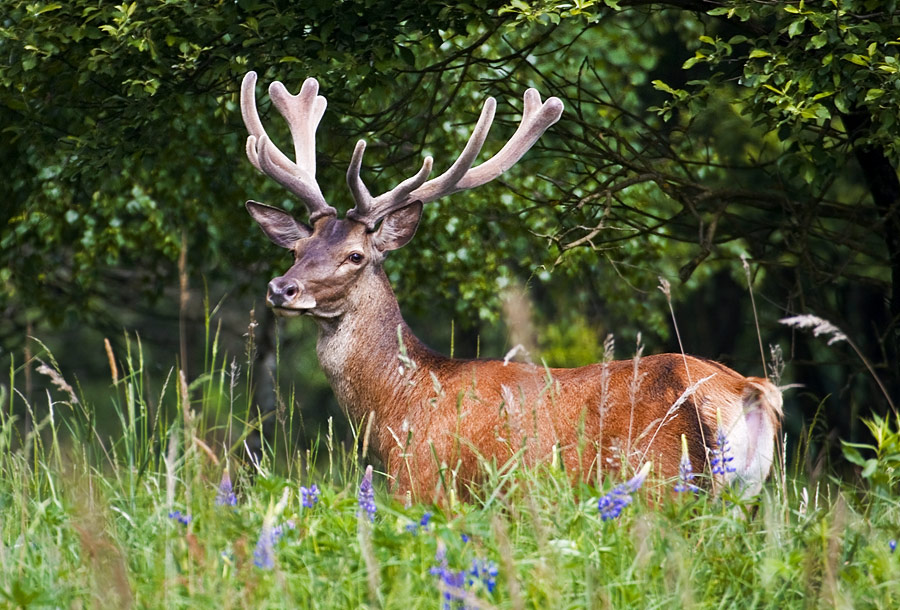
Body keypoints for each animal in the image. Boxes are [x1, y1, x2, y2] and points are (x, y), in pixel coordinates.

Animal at [240, 70, 783, 502]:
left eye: (355, 255)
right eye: (296, 249)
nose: (281, 289)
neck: (400, 408)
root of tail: (748, 390)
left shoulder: (425, 487)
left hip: (663, 483)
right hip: (745, 498)